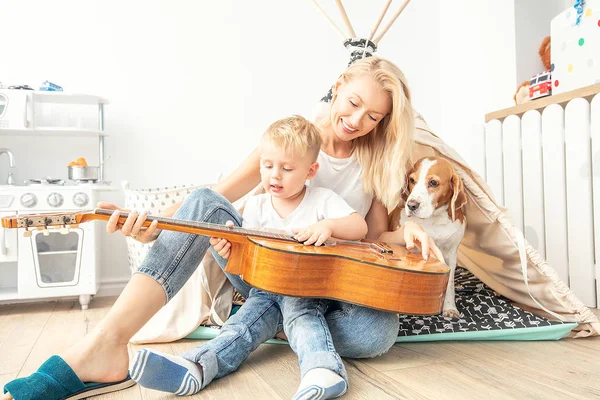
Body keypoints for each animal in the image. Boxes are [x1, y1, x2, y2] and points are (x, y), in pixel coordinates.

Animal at [390, 157, 468, 318]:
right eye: (412, 180)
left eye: (433, 182)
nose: (411, 205)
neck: (434, 219)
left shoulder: (451, 255)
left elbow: (449, 285)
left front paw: (449, 308)